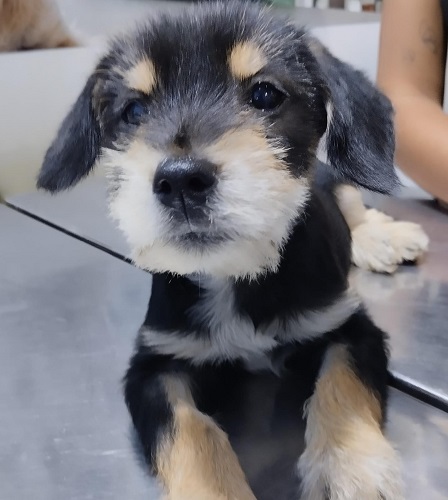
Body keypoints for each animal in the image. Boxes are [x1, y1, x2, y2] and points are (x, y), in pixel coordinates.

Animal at [36, 2, 412, 498]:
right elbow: (189, 429)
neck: (233, 275)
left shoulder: (351, 327)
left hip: (338, 183)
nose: (180, 180)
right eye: (134, 110)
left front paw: (350, 466)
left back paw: (388, 238)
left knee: (358, 210)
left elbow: (342, 381)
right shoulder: (153, 365)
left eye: (266, 94)